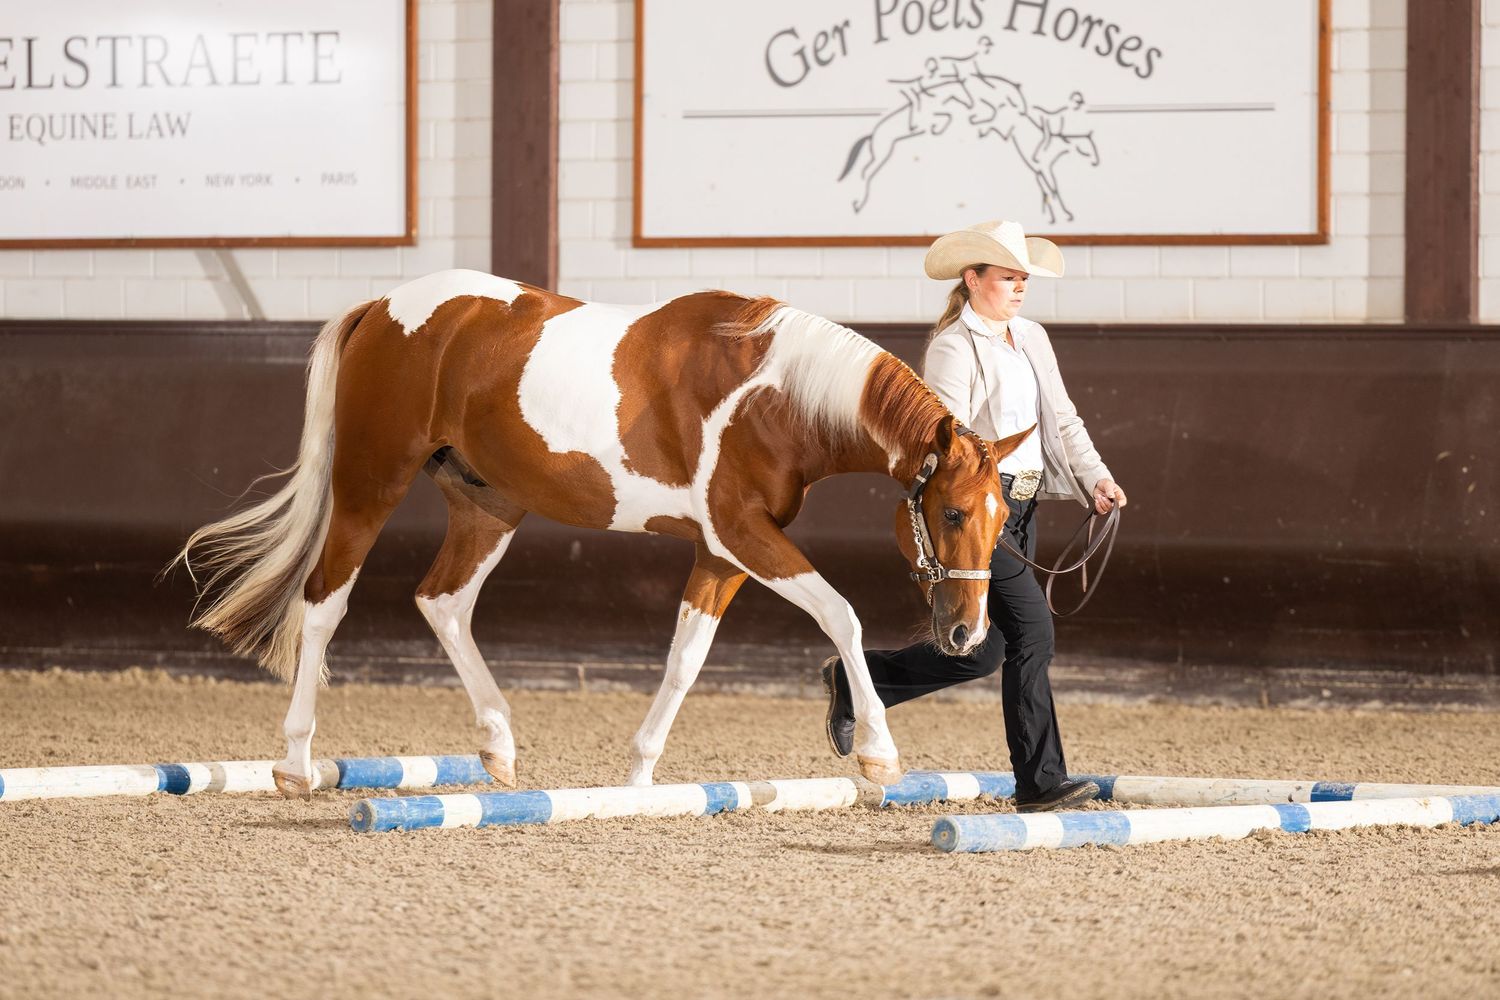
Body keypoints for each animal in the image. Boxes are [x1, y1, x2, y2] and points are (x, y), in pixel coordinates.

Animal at [172, 270, 1029, 798]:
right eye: (953, 513)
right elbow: (842, 616)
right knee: (323, 604)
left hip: (489, 505)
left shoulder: (721, 552)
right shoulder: (742, 535)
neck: (773, 392)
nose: (965, 633)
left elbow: (685, 660)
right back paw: (295, 762)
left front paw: (639, 778)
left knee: (443, 601)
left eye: (1003, 518)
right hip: (368, 484)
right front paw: (879, 753)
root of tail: (382, 307)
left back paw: (498, 746)